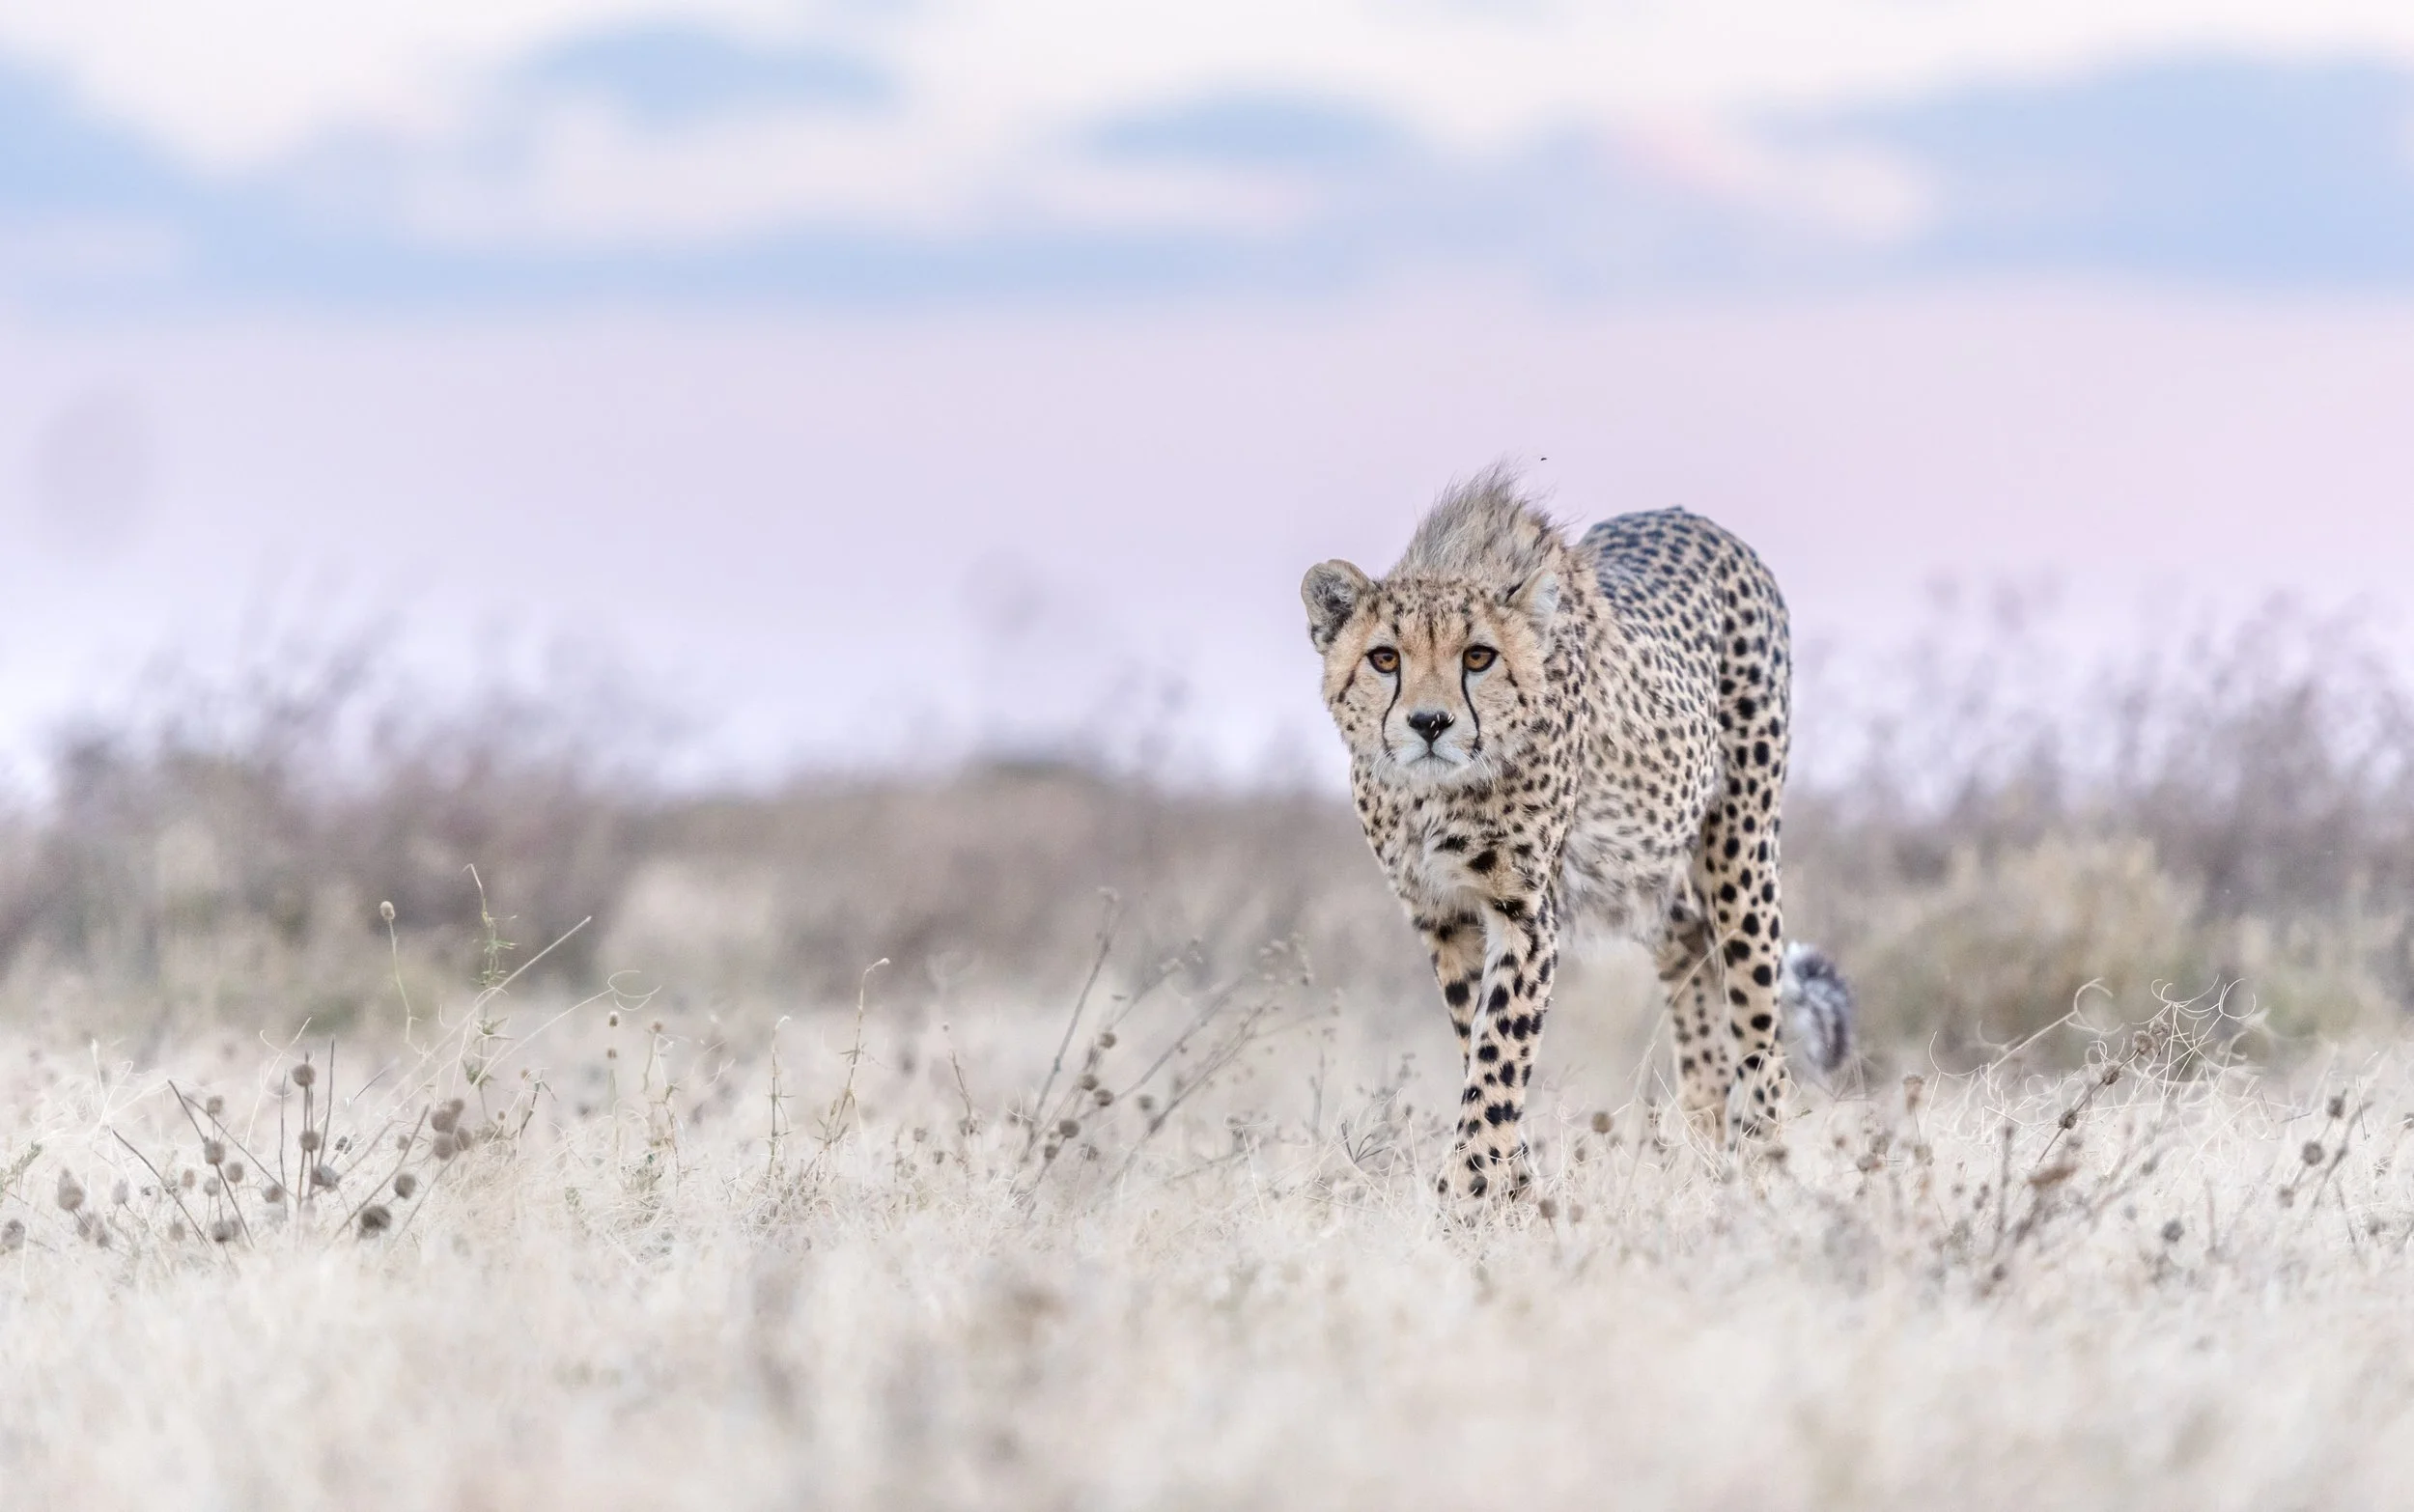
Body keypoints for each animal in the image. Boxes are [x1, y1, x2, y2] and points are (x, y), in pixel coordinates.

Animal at [1301, 468, 1852, 1201]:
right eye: (1384, 658)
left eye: (1479, 656)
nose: (1429, 723)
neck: (1433, 796)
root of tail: (1692, 517)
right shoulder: (1442, 915)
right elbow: (1478, 1043)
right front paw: (1510, 1184)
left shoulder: (1525, 909)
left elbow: (1500, 1048)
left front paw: (1472, 1195)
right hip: (1646, 871)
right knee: (1690, 946)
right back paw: (1704, 1138)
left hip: (1741, 846)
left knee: (1758, 1017)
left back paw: (1758, 1164)